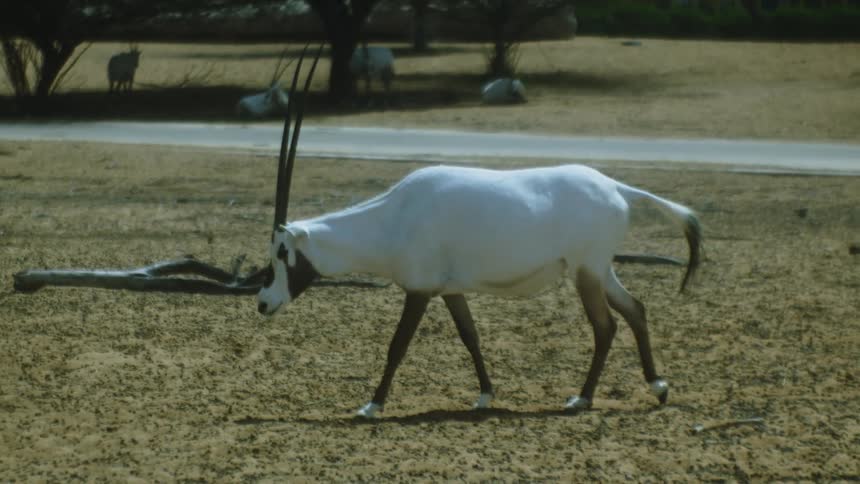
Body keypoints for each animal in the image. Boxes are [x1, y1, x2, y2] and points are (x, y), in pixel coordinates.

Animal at [259, 46, 702, 419]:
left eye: (281, 252)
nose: (263, 303)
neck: (393, 216)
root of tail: (616, 187)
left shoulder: (419, 290)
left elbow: (397, 345)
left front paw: (371, 406)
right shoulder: (450, 290)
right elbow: (469, 336)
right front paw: (485, 395)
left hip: (585, 270)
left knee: (606, 325)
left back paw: (582, 399)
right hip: (598, 269)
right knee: (635, 309)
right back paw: (658, 387)